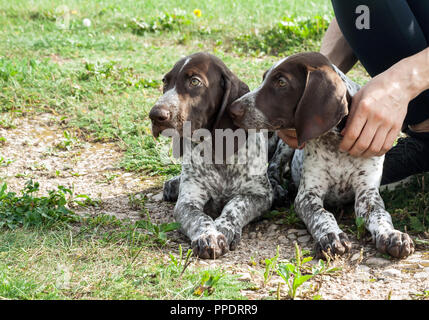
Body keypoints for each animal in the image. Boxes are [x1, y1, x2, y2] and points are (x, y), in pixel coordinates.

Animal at [149, 52, 286, 258]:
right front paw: (209, 235)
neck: (217, 151)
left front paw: (224, 227)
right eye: (165, 81)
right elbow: (199, 217)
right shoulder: (187, 202)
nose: (155, 115)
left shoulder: (260, 195)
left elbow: (235, 205)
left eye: (194, 81)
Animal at [229, 51, 412, 258]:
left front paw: (392, 234)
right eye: (263, 78)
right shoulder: (307, 195)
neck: (337, 145)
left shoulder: (368, 194)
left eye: (281, 82)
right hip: (285, 145)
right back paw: (278, 188)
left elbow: (380, 214)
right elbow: (322, 215)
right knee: (274, 167)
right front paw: (332, 235)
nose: (232, 109)